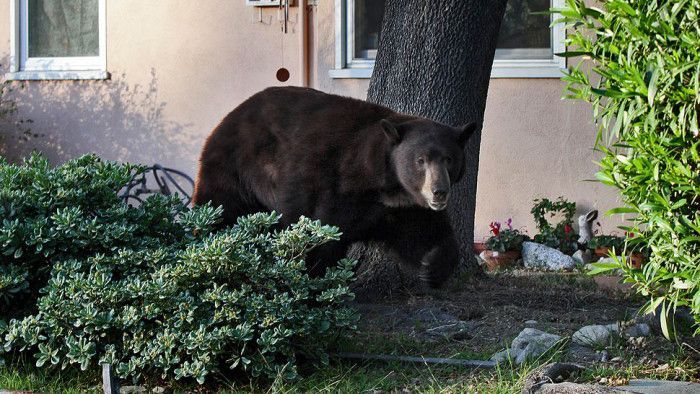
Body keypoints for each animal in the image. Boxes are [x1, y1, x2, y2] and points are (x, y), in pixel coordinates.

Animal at [193, 87, 476, 286]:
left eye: (449, 159)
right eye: (420, 160)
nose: (439, 191)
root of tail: (227, 118)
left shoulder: (400, 207)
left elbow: (421, 231)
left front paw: (433, 267)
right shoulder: (329, 185)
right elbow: (318, 234)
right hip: (237, 167)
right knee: (222, 205)